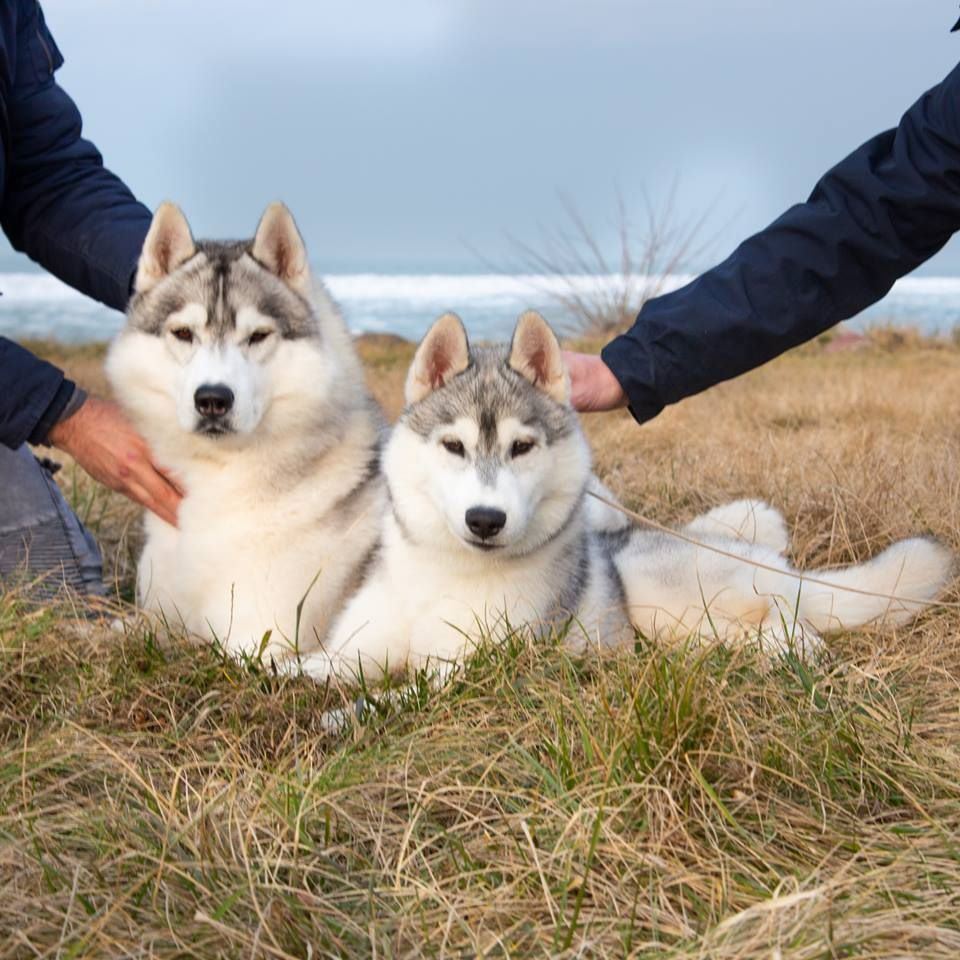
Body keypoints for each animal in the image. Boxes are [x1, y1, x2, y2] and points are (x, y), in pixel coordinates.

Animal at [107, 202, 384, 660]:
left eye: (257, 336)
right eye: (183, 333)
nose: (213, 399)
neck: (219, 483)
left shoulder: (256, 642)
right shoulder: (155, 614)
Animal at [292, 310, 952, 684]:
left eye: (522, 447)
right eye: (453, 446)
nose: (485, 520)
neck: (443, 575)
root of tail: (774, 564)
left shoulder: (475, 669)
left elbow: (403, 693)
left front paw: (350, 714)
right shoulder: (358, 645)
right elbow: (313, 666)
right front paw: (282, 673)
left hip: (656, 590)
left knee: (786, 625)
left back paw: (776, 656)